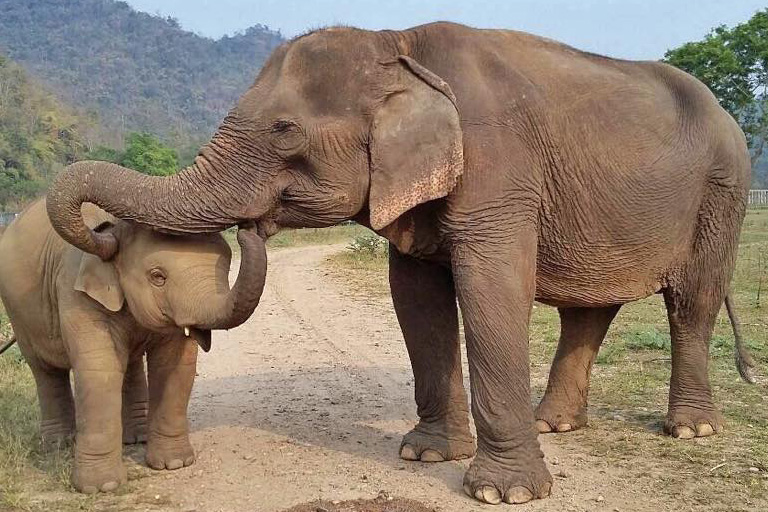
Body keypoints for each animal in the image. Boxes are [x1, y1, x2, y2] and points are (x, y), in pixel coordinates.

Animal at [0, 199, 266, 492]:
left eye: (227, 266)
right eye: (158, 277)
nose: (248, 227)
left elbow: (175, 365)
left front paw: (175, 464)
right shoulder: (75, 295)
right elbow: (100, 370)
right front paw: (100, 487)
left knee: (130, 364)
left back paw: (136, 438)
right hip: (19, 313)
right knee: (44, 370)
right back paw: (59, 445)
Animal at [45, 23, 748, 504]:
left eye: (283, 130)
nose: (253, 225)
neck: (400, 44)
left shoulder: (499, 169)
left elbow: (492, 288)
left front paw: (505, 493)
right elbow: (415, 295)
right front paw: (426, 458)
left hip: (722, 191)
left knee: (692, 302)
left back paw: (691, 431)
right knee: (589, 310)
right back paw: (555, 424)